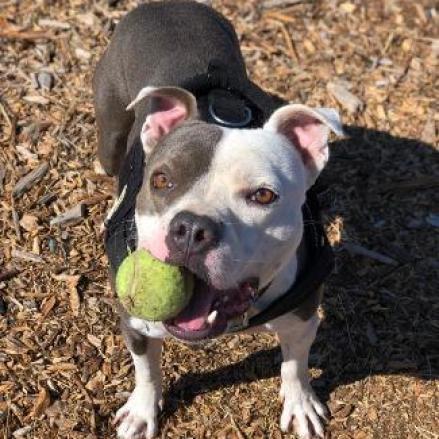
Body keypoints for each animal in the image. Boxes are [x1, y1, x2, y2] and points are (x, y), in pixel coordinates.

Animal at [93, 1, 344, 438]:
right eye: (161, 180)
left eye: (263, 195)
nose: (192, 229)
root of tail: (165, 6)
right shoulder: (136, 324)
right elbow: (147, 370)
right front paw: (142, 411)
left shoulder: (302, 318)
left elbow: (295, 364)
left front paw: (300, 404)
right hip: (110, 138)